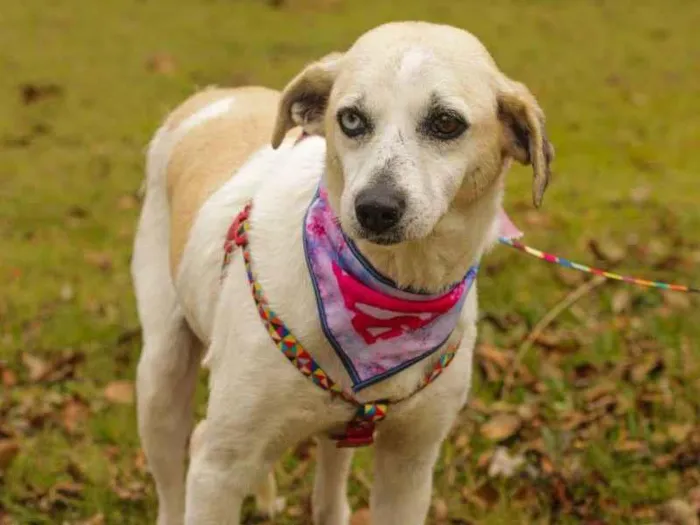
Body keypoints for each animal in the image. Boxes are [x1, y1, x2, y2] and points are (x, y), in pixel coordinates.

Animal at [131, 20, 552, 524]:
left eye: (446, 123)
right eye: (350, 119)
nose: (375, 209)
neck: (390, 292)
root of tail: (213, 95)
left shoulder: (409, 465)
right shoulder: (217, 468)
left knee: (328, 494)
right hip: (162, 375)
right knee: (175, 472)